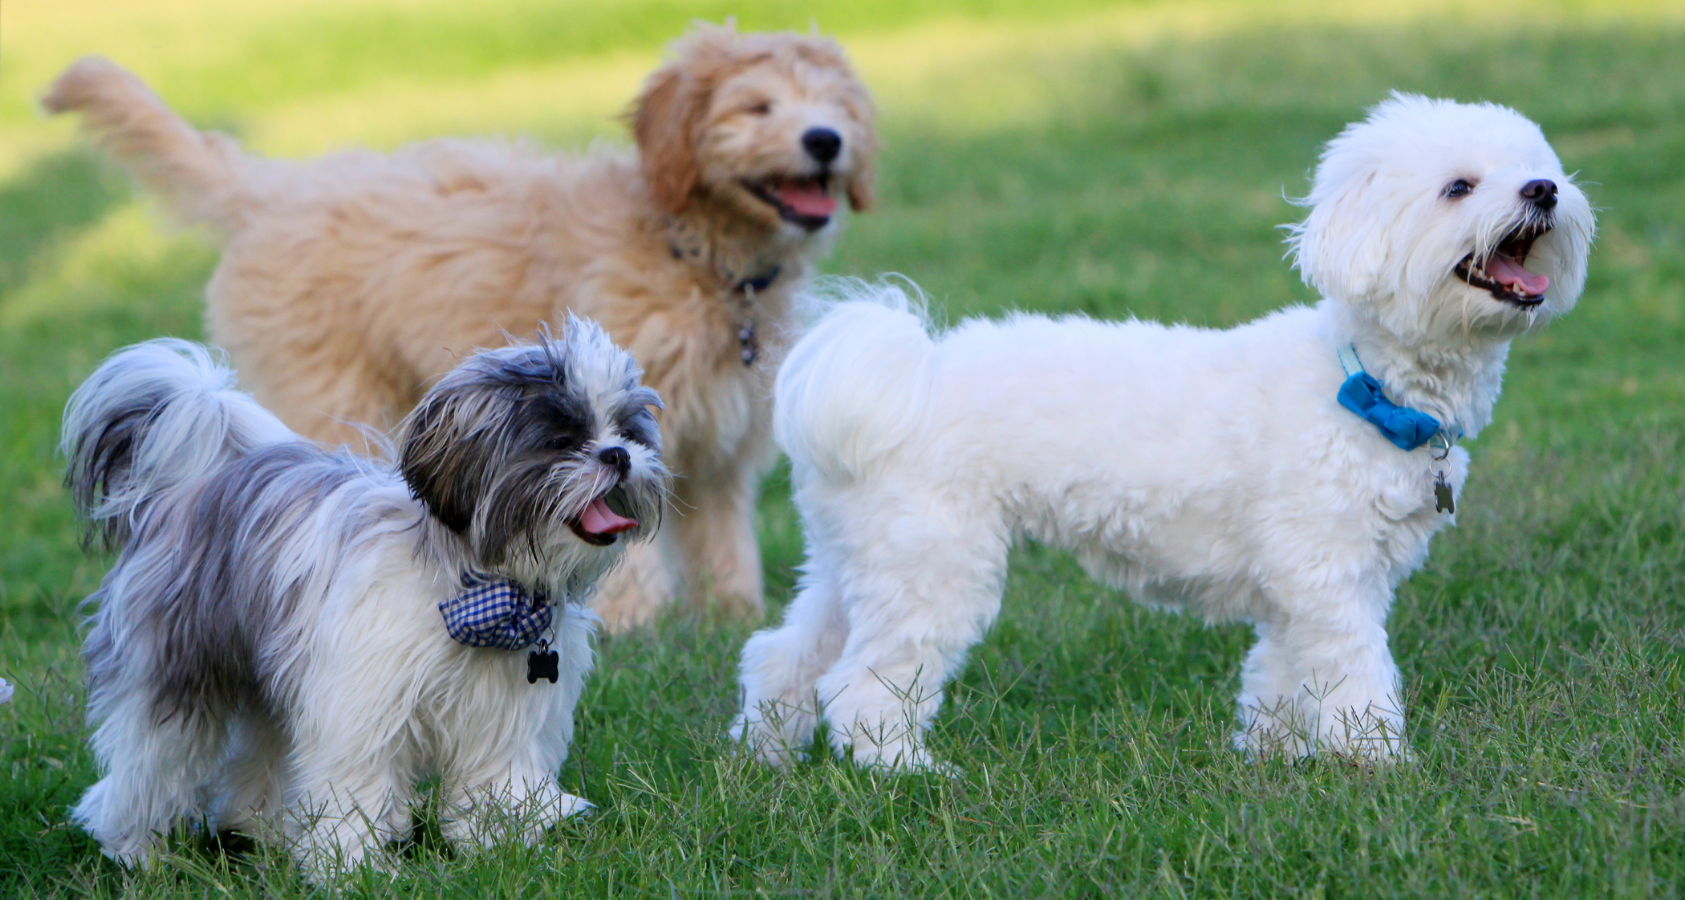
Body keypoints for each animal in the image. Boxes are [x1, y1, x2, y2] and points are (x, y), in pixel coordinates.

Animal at [44, 28, 876, 633]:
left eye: (832, 103)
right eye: (757, 107)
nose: (824, 140)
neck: (693, 252)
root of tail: (274, 190)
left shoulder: (718, 440)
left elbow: (722, 538)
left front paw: (733, 617)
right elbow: (614, 518)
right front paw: (633, 619)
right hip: (329, 389)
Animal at [65, 323, 670, 883]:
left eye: (628, 431)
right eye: (561, 439)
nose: (618, 455)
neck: (479, 590)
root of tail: (193, 484)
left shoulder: (503, 714)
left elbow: (495, 782)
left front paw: (501, 848)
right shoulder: (359, 706)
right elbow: (354, 787)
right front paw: (353, 869)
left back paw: (264, 830)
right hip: (176, 670)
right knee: (150, 763)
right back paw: (136, 848)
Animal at [727, 95, 1590, 768]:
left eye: (1534, 165)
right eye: (1457, 187)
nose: (1544, 190)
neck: (1362, 383)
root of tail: (904, 372)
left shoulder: (1302, 590)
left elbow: (1279, 675)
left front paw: (1277, 756)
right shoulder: (1328, 578)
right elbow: (1354, 678)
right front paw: (1374, 762)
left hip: (858, 558)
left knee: (784, 655)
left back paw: (767, 755)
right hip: (934, 563)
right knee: (861, 683)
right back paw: (898, 770)